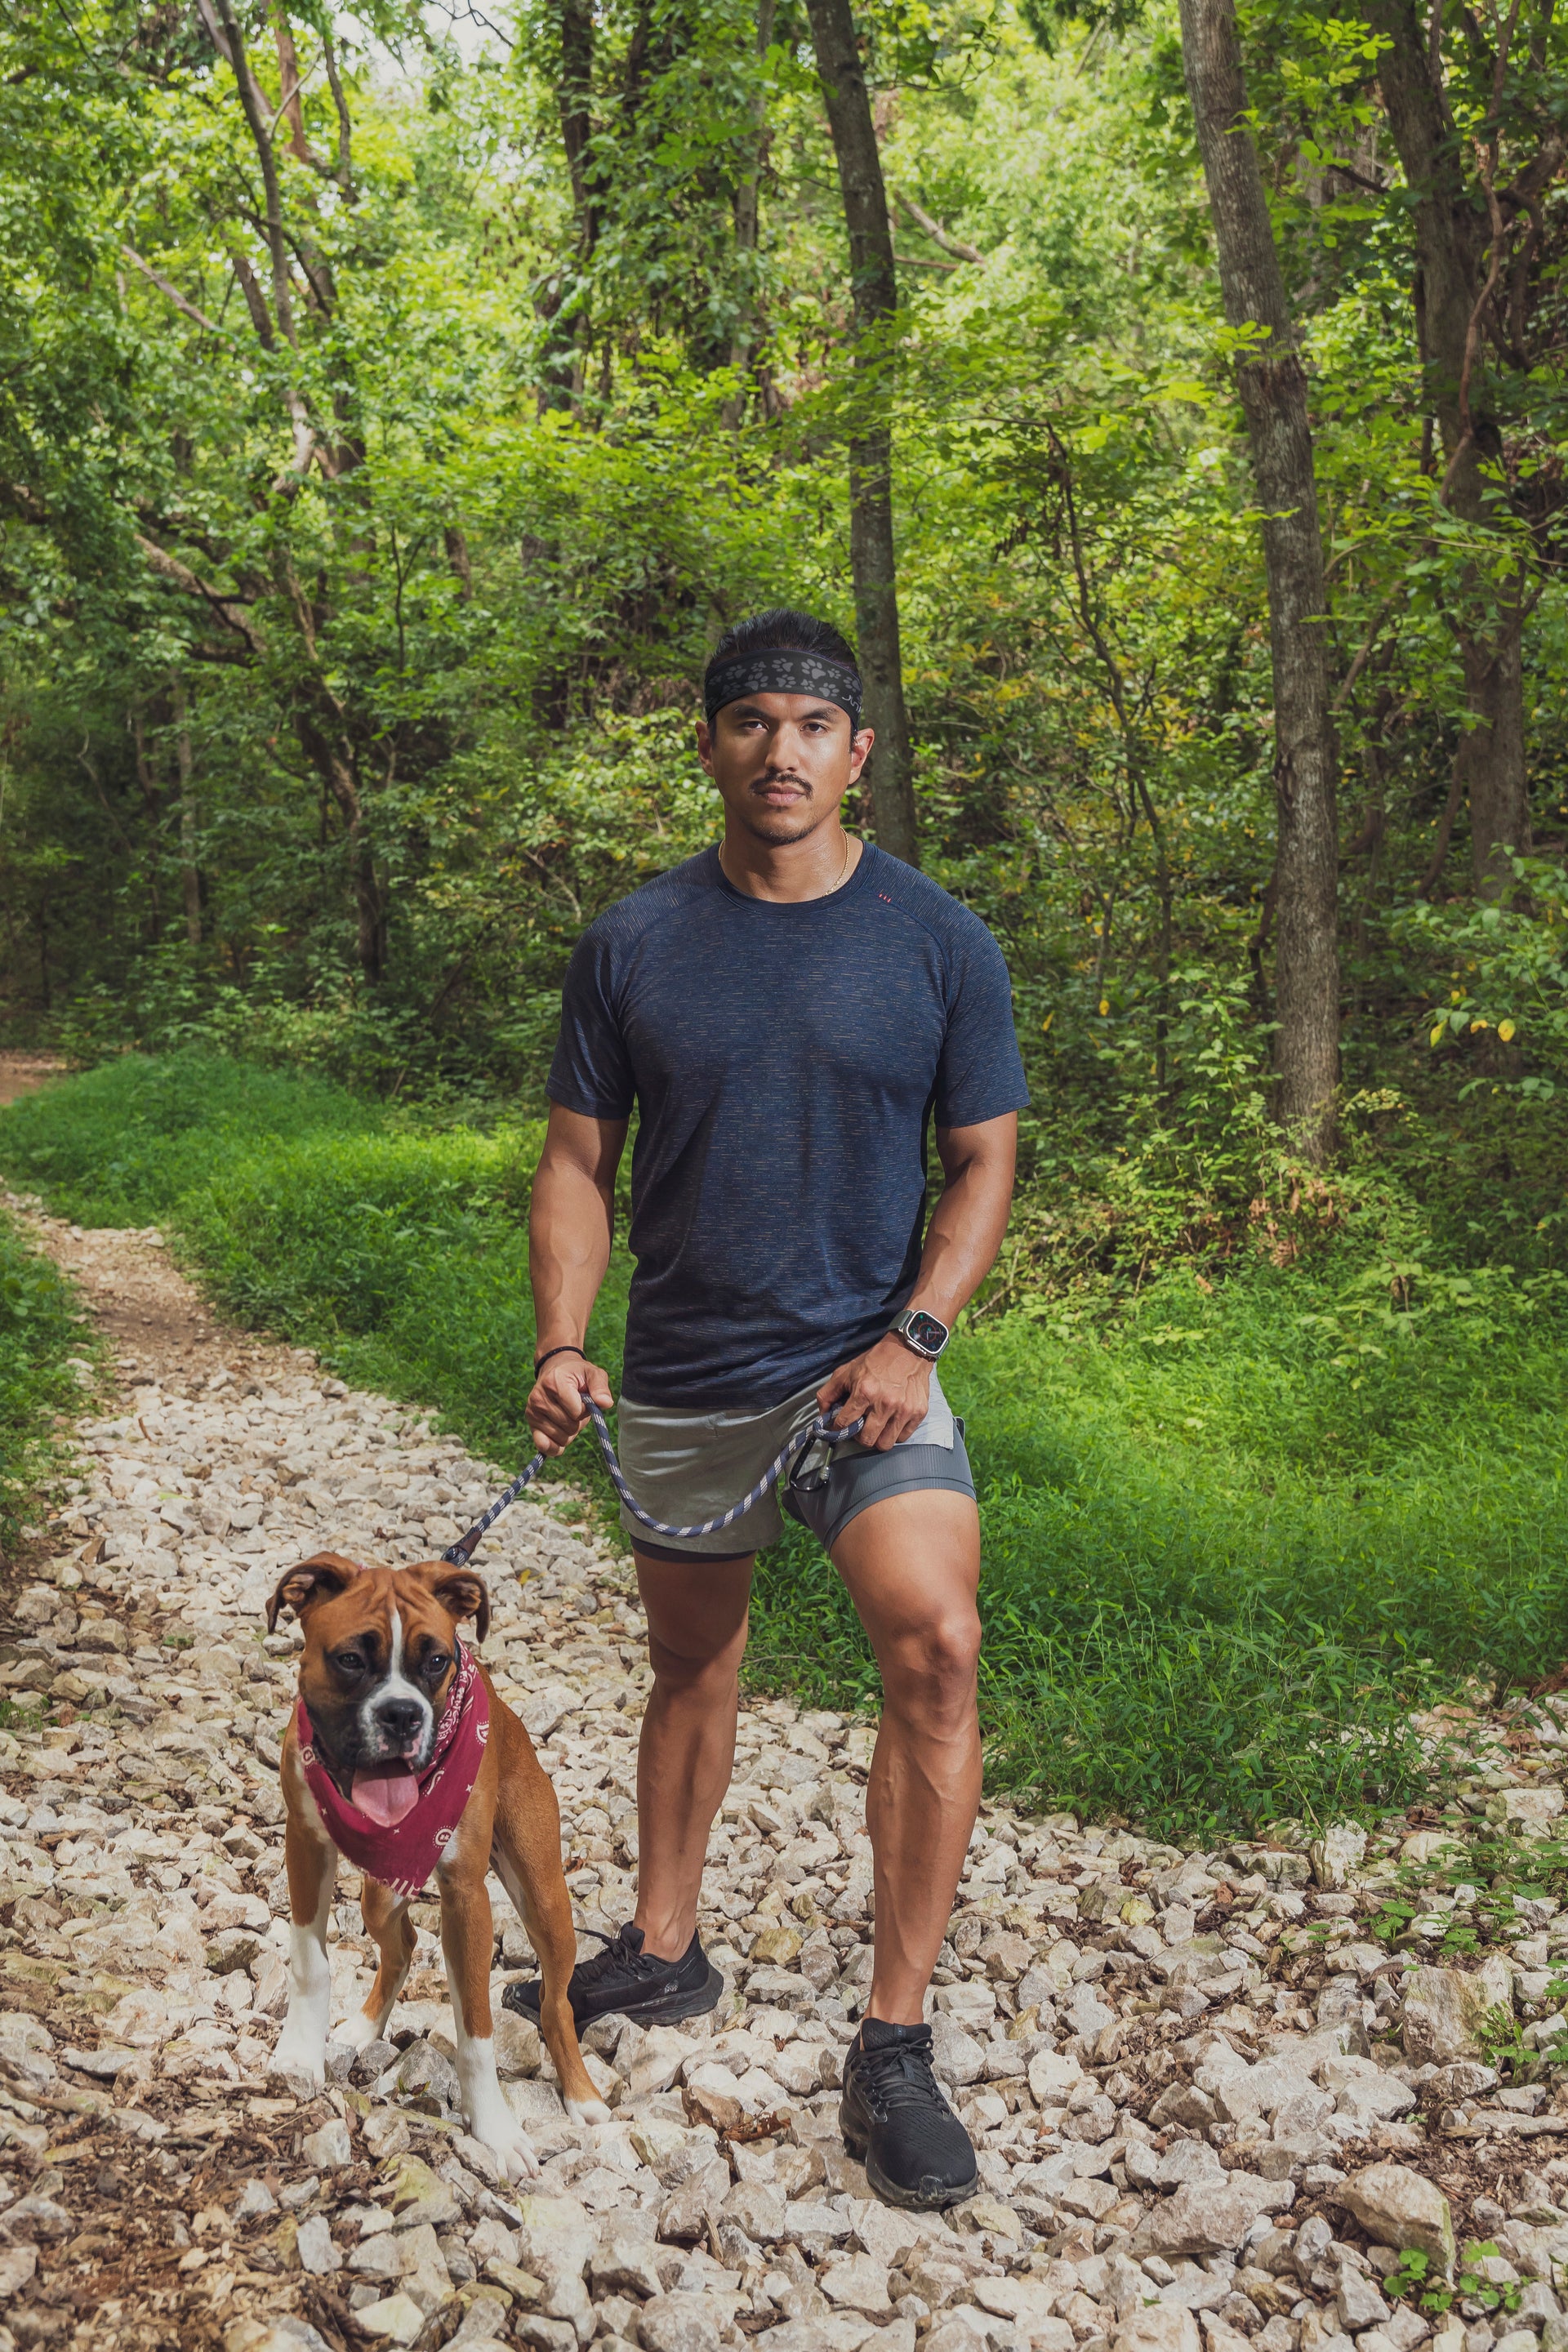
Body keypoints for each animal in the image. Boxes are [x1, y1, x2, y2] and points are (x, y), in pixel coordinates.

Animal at [263, 1552, 606, 2173]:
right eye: (350, 1659)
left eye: (438, 1661)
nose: (402, 1715)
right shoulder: (304, 1845)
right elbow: (310, 1964)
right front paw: (300, 2054)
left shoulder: (467, 1898)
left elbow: (477, 2031)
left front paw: (495, 2130)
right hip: (379, 1895)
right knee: (401, 1945)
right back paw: (363, 2025)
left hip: (546, 1904)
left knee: (555, 2003)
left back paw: (582, 2096)